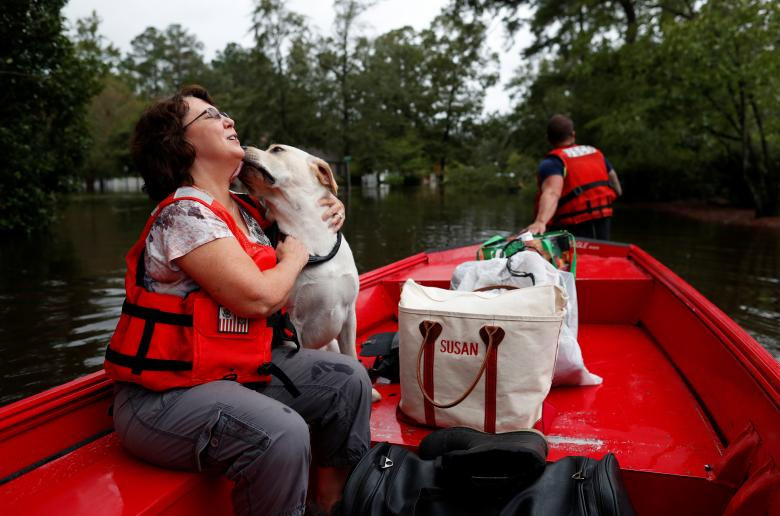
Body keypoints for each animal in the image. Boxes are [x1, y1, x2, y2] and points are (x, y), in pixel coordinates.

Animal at [241, 145, 380, 400]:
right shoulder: (294, 324)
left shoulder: (349, 315)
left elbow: (351, 354)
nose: (242, 146)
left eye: (276, 149)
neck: (312, 236)